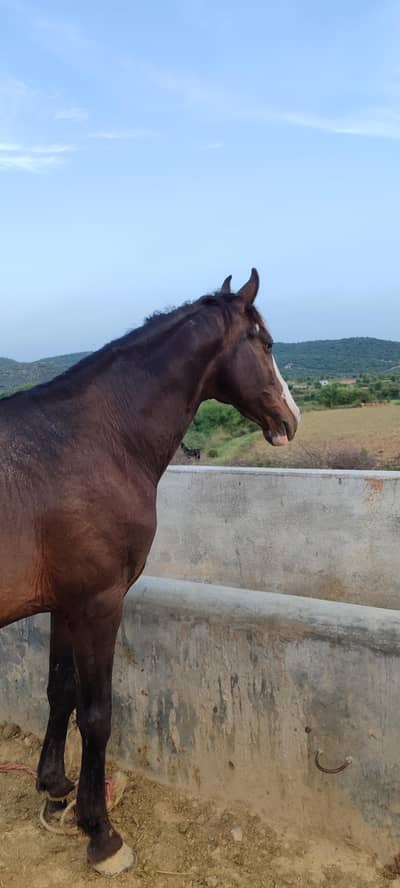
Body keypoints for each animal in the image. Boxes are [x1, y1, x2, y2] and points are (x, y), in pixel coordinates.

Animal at [0, 269, 300, 876]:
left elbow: (60, 691)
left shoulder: (66, 603)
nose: (291, 420)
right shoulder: (99, 601)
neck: (91, 440)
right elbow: (96, 714)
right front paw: (100, 833)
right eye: (266, 343)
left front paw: (55, 788)